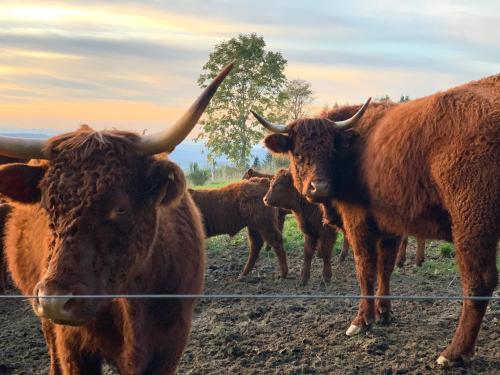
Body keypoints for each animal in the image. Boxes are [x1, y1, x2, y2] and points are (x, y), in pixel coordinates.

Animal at [254, 74, 500, 368]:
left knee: (478, 283)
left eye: (330, 150)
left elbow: (365, 268)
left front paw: (361, 320)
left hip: (472, 227)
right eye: (298, 153)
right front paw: (384, 312)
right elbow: (386, 267)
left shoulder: (358, 223)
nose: (319, 187)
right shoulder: (391, 227)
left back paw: (452, 353)